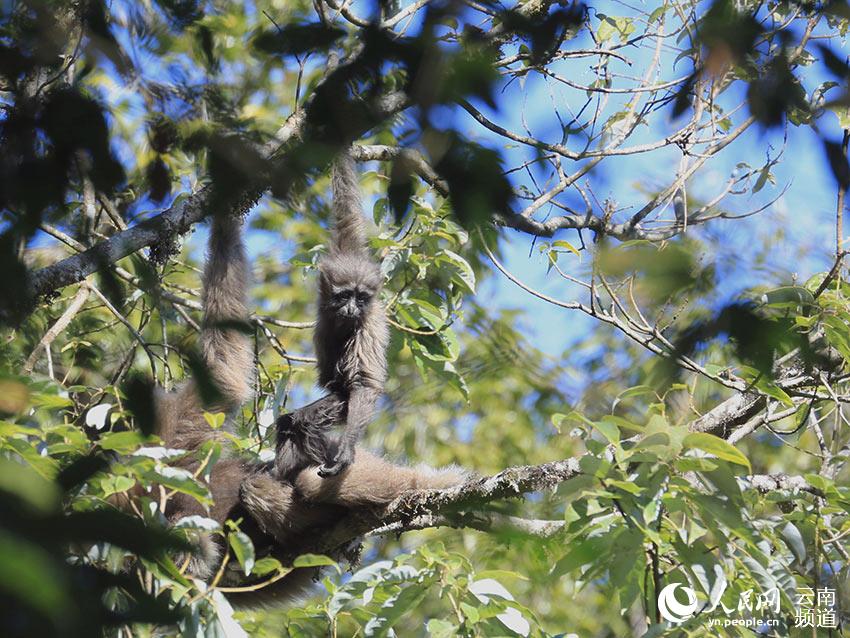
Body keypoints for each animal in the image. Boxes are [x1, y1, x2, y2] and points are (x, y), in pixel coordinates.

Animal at [273, 149, 389, 479]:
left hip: (342, 402)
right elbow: (345, 206)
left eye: (361, 298)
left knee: (305, 420)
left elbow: (364, 384)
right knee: (291, 421)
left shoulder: (367, 327)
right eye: (344, 296)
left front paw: (346, 451)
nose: (352, 308)